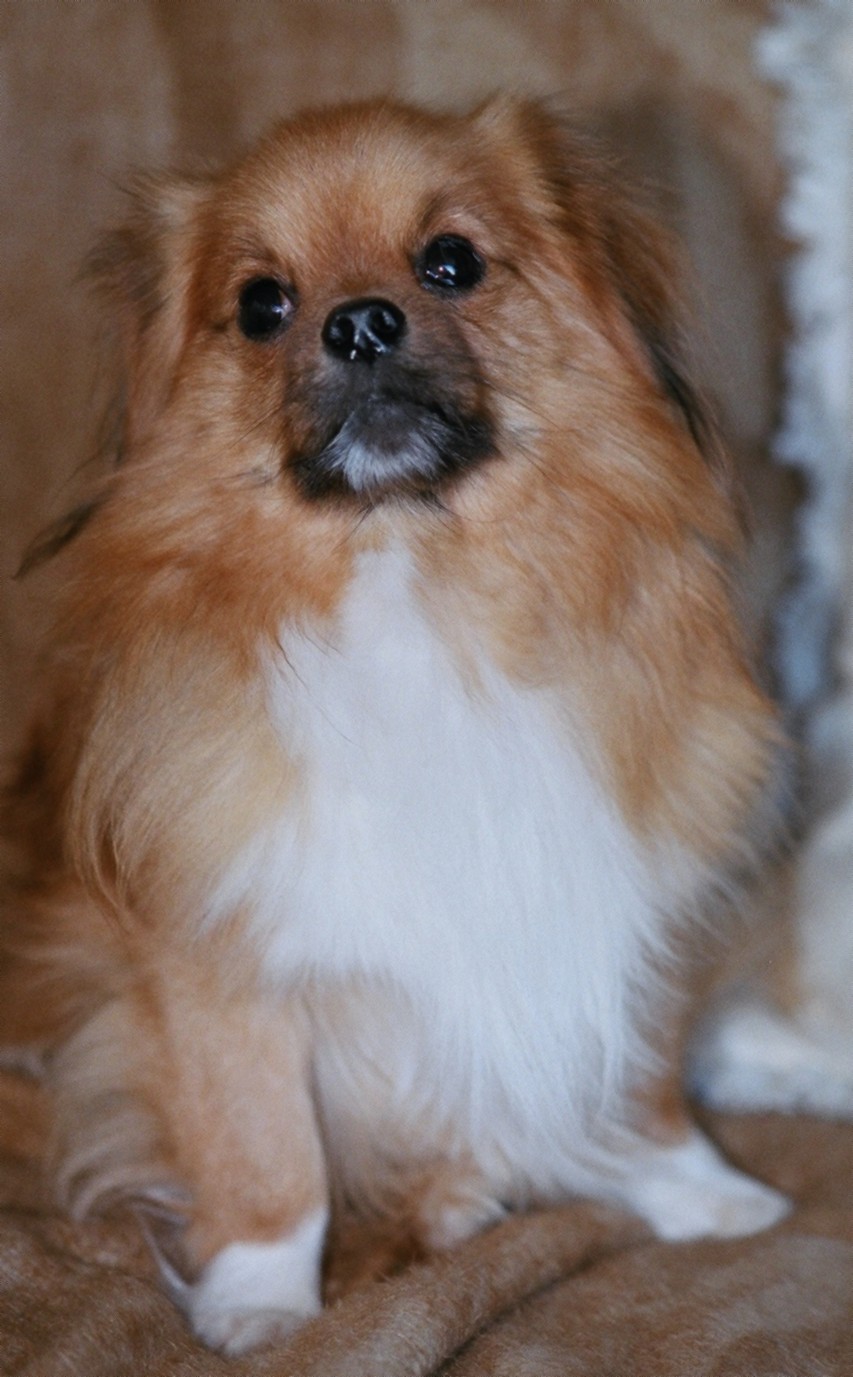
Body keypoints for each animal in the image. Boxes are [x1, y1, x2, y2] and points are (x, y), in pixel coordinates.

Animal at [0, 99, 788, 1354]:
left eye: (451, 262)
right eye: (261, 305)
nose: (360, 324)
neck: (412, 576)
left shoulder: (609, 900)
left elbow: (638, 1077)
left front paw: (690, 1187)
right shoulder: (217, 961)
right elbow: (261, 1146)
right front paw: (264, 1301)